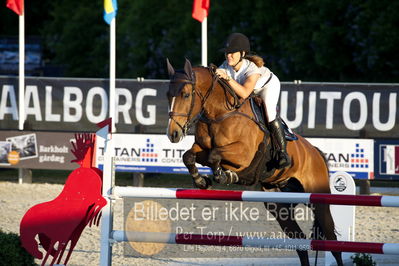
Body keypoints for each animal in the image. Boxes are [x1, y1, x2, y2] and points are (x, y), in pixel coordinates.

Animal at [165, 58, 344, 266]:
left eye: (186, 94)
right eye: (168, 95)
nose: (173, 134)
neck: (219, 113)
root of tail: (316, 152)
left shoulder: (244, 154)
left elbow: (215, 156)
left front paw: (225, 176)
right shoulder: (201, 148)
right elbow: (189, 156)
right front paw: (202, 181)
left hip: (319, 201)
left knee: (333, 240)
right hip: (279, 205)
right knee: (299, 241)